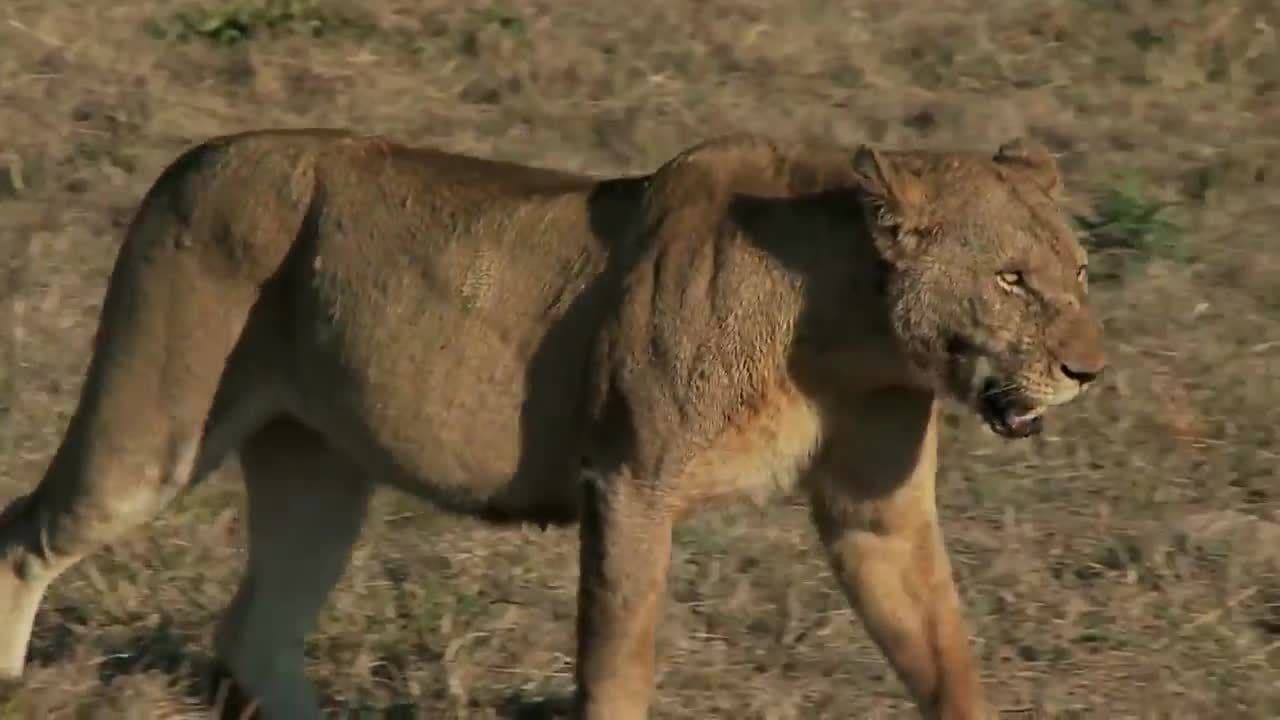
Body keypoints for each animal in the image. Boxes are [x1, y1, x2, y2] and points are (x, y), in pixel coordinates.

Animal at [0, 129, 1105, 720]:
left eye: (1081, 272)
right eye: (1010, 279)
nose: (1087, 370)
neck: (848, 332)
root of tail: (193, 156)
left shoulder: (877, 514)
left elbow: (943, 653)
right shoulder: (629, 483)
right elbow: (619, 659)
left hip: (318, 471)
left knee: (257, 628)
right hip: (154, 436)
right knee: (24, 535)